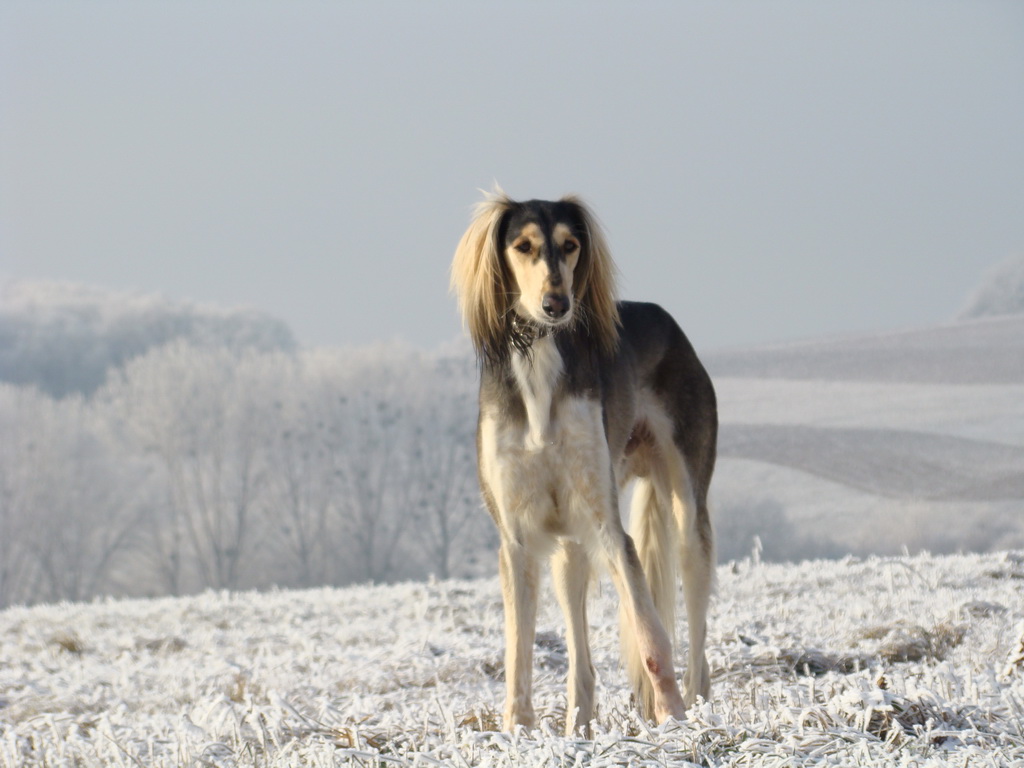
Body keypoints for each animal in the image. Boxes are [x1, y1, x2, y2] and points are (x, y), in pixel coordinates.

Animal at [452, 189, 716, 737]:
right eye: (523, 246)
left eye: (570, 245)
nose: (557, 304)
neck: (538, 358)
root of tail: (665, 317)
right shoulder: (516, 538)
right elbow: (519, 653)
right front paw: (517, 731)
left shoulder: (609, 528)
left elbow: (652, 640)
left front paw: (673, 722)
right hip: (568, 549)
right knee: (582, 660)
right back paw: (580, 729)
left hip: (687, 516)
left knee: (697, 648)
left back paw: (698, 709)